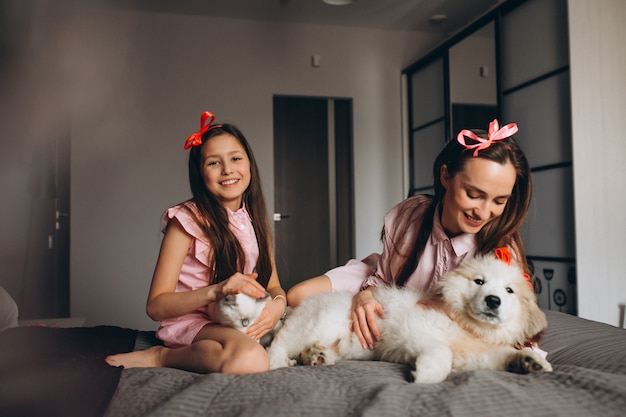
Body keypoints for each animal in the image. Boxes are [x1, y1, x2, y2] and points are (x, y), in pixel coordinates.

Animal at [266, 252, 548, 382]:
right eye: (479, 281)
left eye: (509, 290)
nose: (493, 300)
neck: (465, 326)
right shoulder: (414, 331)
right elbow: (441, 351)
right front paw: (427, 374)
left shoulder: (472, 354)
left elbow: (499, 357)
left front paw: (530, 362)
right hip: (318, 322)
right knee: (279, 343)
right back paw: (279, 362)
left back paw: (317, 356)